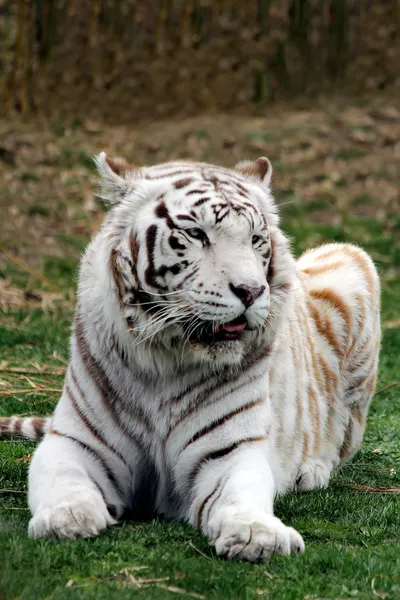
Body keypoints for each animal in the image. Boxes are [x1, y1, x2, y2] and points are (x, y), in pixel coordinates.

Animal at [0, 155, 380, 564]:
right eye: (197, 234)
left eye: (256, 239)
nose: (251, 291)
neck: (164, 362)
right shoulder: (77, 440)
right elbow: (61, 477)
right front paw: (65, 518)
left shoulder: (228, 450)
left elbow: (241, 493)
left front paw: (257, 534)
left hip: (352, 261)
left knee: (344, 436)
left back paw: (310, 471)